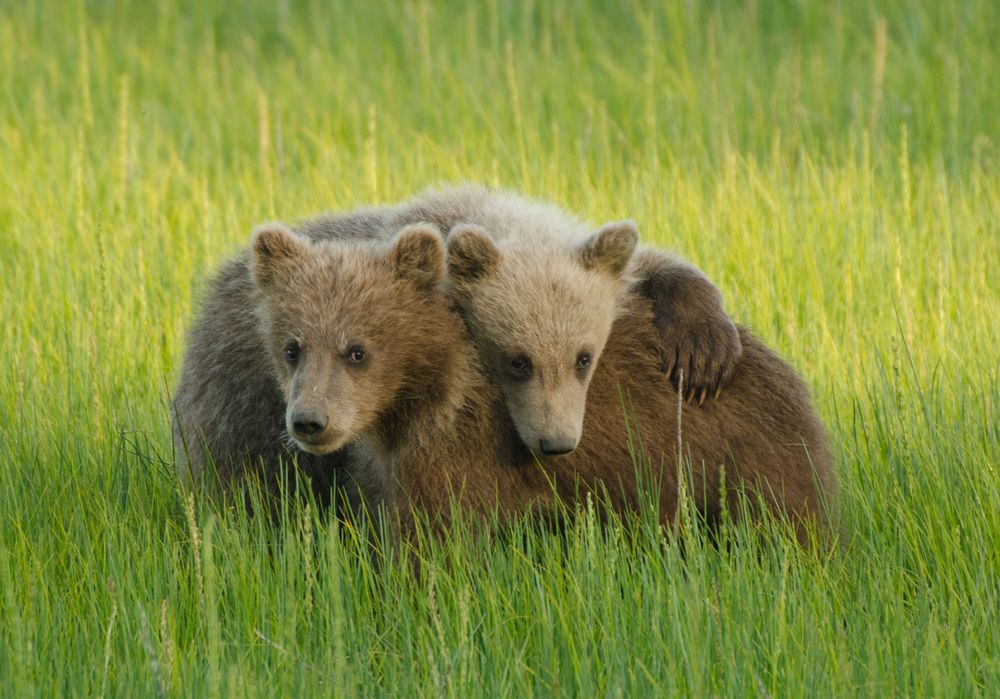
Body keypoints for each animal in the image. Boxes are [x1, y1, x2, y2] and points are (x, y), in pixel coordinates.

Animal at [249, 223, 835, 544]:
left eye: (357, 351)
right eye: (292, 348)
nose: (309, 422)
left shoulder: (460, 452)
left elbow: (437, 541)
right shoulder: (388, 462)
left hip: (742, 455)